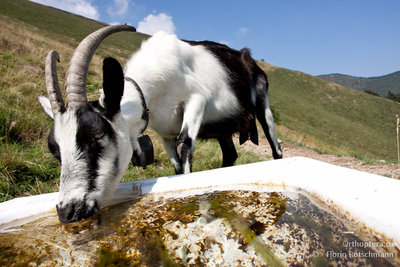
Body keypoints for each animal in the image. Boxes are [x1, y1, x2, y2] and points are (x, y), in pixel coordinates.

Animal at [37, 25, 282, 224]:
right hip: (222, 129)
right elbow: (176, 164)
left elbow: (185, 146)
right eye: (55, 150)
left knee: (275, 144)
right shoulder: (165, 133)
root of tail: (245, 56)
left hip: (263, 102)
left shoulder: (196, 100)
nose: (68, 211)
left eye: (97, 136)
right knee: (230, 154)